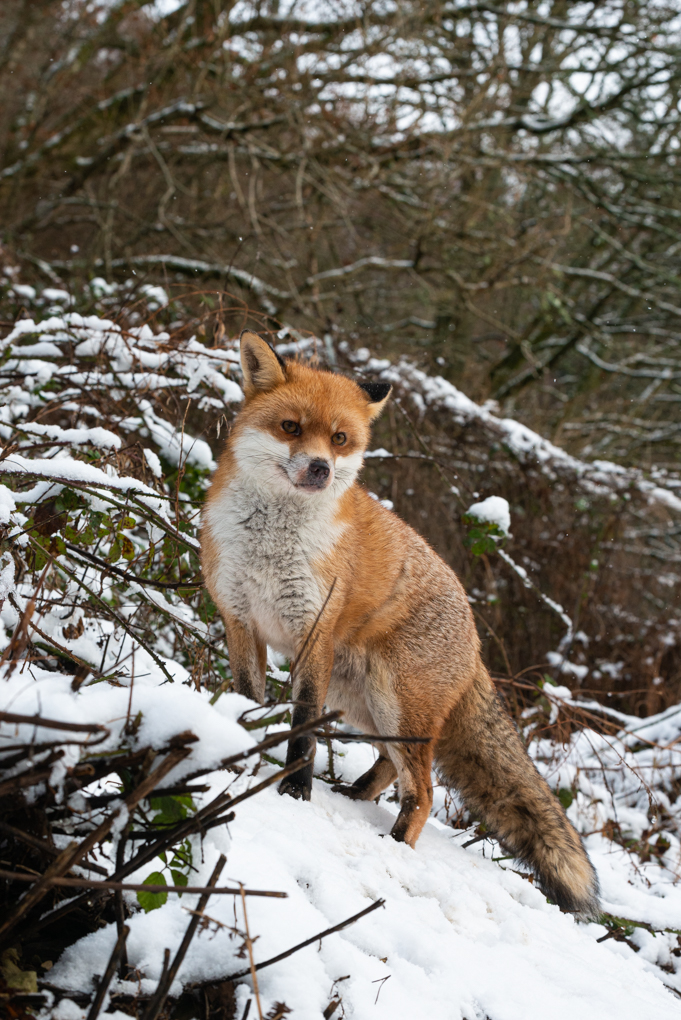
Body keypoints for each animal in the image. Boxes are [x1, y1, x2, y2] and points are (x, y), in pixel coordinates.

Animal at [200, 330, 600, 919]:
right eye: (291, 427)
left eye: (340, 439)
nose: (319, 468)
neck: (272, 545)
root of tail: (476, 639)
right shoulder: (239, 619)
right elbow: (250, 700)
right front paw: (240, 749)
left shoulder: (313, 635)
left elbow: (303, 729)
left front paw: (293, 793)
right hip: (363, 702)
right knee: (393, 767)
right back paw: (352, 795)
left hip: (393, 700)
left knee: (425, 789)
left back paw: (391, 843)